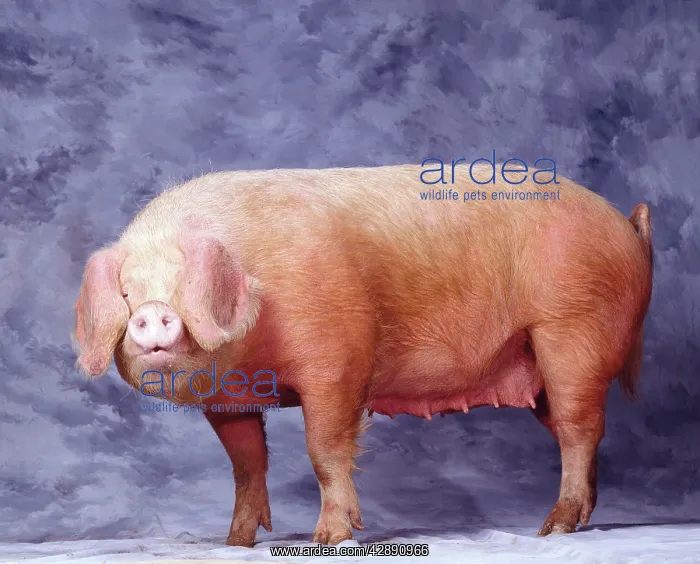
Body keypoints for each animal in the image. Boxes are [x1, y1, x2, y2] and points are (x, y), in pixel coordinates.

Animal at [73, 164, 653, 547]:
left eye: (183, 283)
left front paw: (329, 539)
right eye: (126, 292)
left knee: (579, 430)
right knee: (581, 432)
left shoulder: (339, 357)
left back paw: (552, 529)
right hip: (540, 367)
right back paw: (581, 520)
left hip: (573, 331)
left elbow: (324, 449)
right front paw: (235, 543)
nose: (153, 312)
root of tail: (626, 225)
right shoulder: (228, 399)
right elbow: (246, 463)